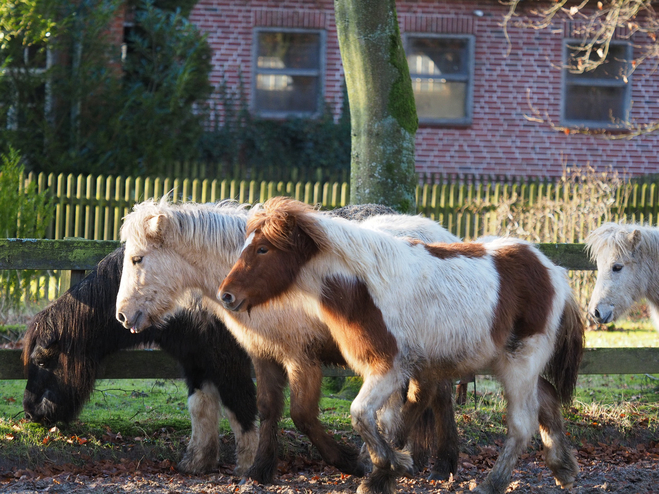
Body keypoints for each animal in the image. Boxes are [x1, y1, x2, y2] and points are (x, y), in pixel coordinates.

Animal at [21, 247, 258, 474]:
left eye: (42, 361)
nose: (30, 412)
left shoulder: (228, 361)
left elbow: (240, 406)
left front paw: (250, 466)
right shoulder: (196, 360)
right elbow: (200, 407)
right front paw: (197, 463)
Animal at [219, 197, 584, 494]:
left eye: (263, 248)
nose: (227, 296)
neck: (363, 288)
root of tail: (552, 270)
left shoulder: (389, 368)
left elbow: (361, 414)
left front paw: (388, 466)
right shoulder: (390, 370)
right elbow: (388, 419)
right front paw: (384, 471)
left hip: (519, 363)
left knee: (522, 424)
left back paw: (492, 483)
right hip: (510, 363)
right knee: (547, 399)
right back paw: (563, 470)